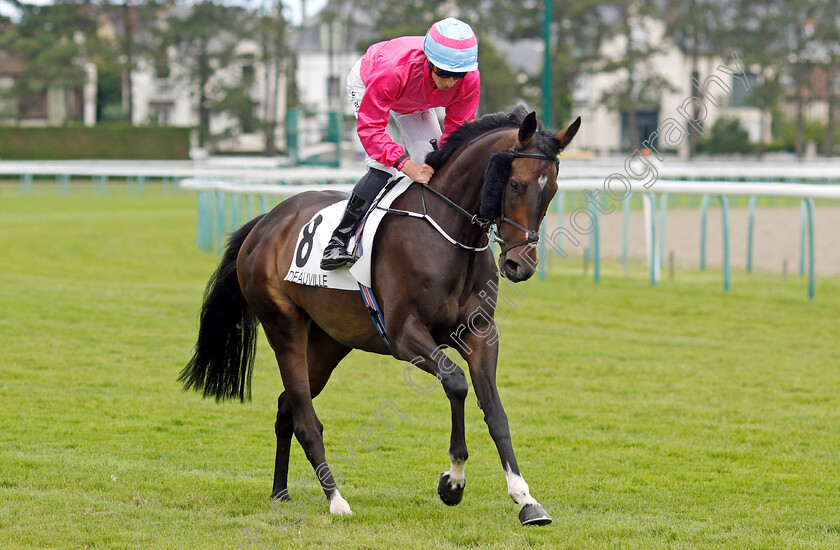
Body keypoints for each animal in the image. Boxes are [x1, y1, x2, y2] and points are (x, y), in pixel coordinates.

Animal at [180, 106, 580, 528]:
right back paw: (336, 500)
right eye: (516, 185)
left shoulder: (481, 334)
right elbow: (456, 383)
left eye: (552, 190)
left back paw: (280, 491)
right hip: (283, 326)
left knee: (286, 406)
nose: (521, 265)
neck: (448, 234)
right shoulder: (404, 336)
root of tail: (267, 221)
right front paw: (452, 482)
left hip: (328, 343)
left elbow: (496, 411)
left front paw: (525, 499)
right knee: (306, 418)